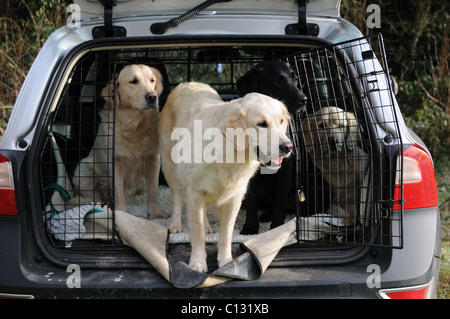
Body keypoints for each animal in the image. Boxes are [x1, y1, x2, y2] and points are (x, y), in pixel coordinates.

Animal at [72, 65, 165, 220]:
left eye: (152, 80)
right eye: (133, 81)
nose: (152, 96)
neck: (133, 125)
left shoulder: (153, 159)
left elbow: (153, 191)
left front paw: (156, 214)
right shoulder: (115, 162)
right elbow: (119, 192)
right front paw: (121, 214)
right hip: (84, 172)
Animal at [159, 82, 292, 272]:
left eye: (281, 121)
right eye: (262, 124)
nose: (287, 147)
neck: (229, 152)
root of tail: (187, 84)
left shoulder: (234, 199)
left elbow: (226, 235)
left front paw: (227, 262)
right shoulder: (195, 195)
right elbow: (197, 233)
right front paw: (197, 262)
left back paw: (208, 227)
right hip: (170, 165)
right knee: (177, 197)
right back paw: (176, 225)